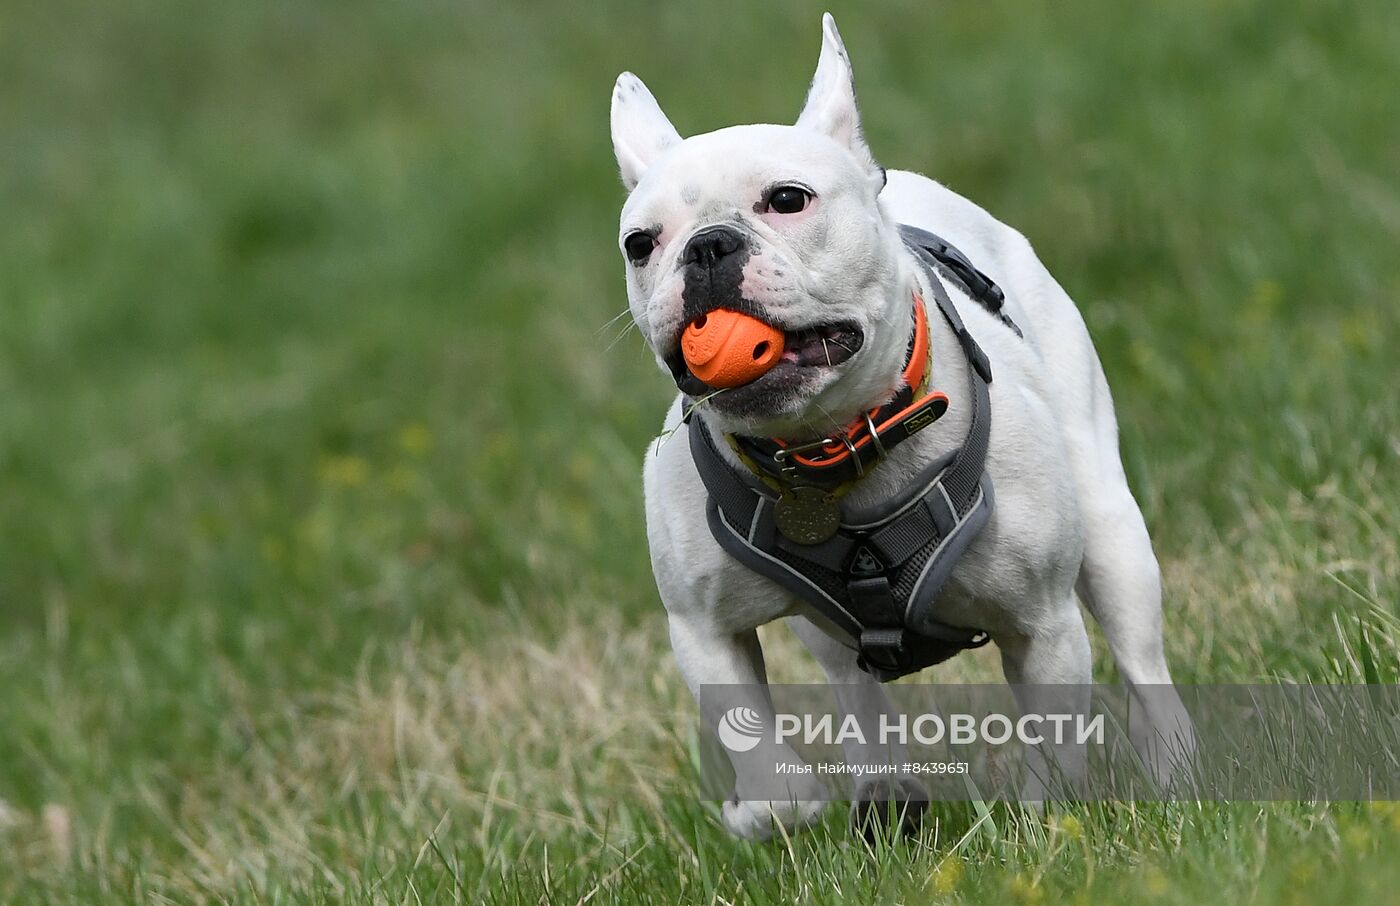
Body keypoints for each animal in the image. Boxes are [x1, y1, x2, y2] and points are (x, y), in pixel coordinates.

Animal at [613, 14, 1192, 840]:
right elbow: (760, 752)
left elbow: (1052, 747)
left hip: (1112, 531)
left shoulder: (1043, 625)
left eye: (788, 199)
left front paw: (1042, 826)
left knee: (1142, 658)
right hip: (825, 636)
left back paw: (1174, 767)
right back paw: (884, 787)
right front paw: (762, 808)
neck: (828, 450)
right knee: (855, 688)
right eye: (641, 243)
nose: (708, 245)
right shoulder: (702, 630)